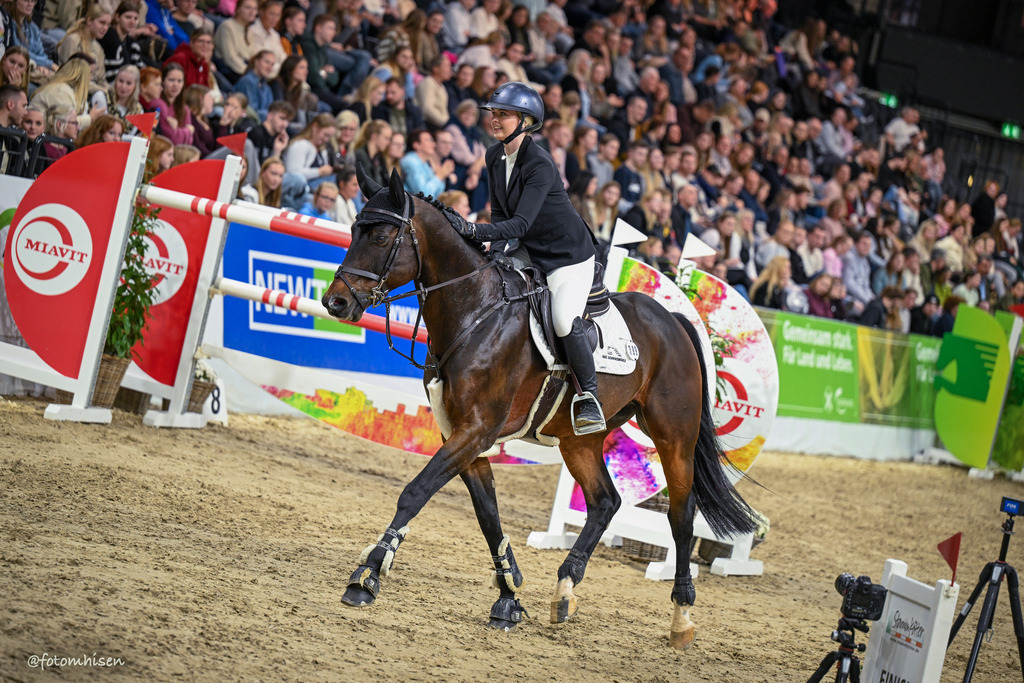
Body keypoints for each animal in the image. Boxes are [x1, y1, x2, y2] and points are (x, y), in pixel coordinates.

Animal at [321, 168, 757, 648]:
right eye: (354, 230)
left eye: (380, 236)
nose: (335, 302)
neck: (475, 312)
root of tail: (675, 321)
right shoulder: (462, 434)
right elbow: (488, 515)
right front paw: (508, 598)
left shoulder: (476, 430)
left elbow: (415, 492)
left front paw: (366, 576)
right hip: (579, 439)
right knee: (605, 501)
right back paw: (565, 589)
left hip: (673, 436)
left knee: (680, 514)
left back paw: (681, 615)